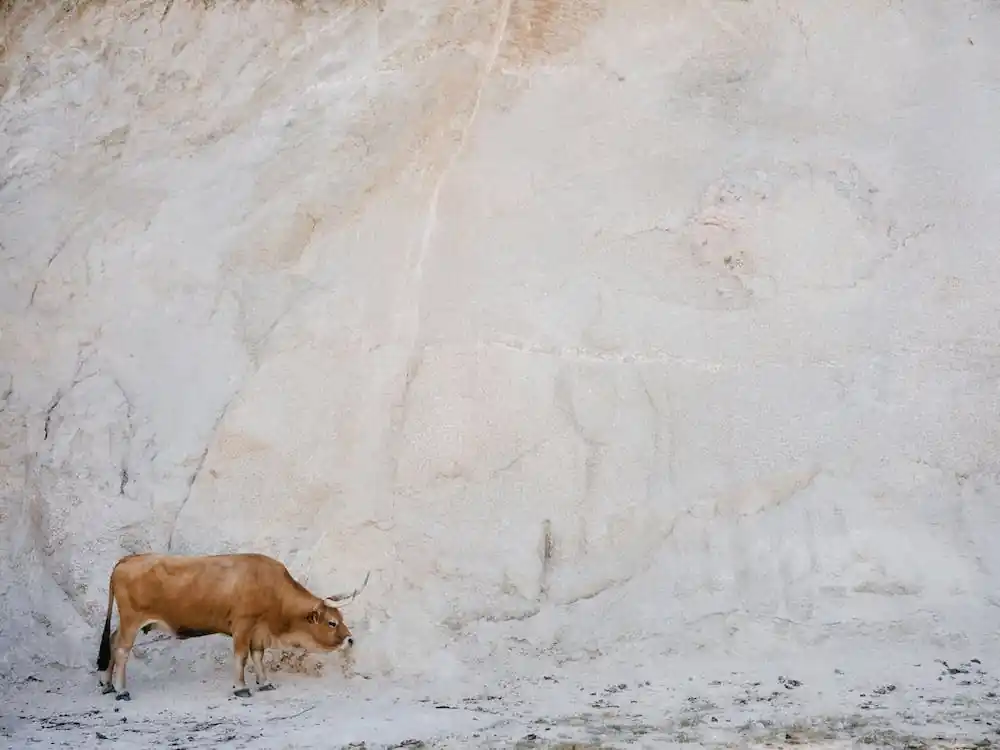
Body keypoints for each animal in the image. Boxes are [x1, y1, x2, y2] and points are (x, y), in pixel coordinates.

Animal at [95, 552, 369, 701]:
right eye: (332, 622)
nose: (350, 639)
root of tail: (128, 559)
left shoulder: (258, 631)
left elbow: (257, 656)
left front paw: (264, 682)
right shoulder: (243, 626)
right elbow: (241, 656)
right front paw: (241, 687)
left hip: (126, 622)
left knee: (112, 640)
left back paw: (107, 684)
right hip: (131, 620)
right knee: (122, 650)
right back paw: (121, 690)